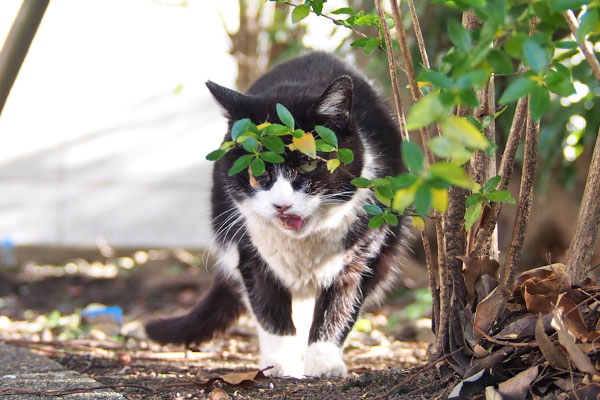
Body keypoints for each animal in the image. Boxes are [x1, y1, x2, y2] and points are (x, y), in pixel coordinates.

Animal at [146, 52, 408, 378]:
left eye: (309, 164)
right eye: (256, 167)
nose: (281, 205)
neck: (301, 243)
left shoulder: (364, 252)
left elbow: (340, 306)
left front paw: (323, 362)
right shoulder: (249, 254)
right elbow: (268, 308)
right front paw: (279, 363)